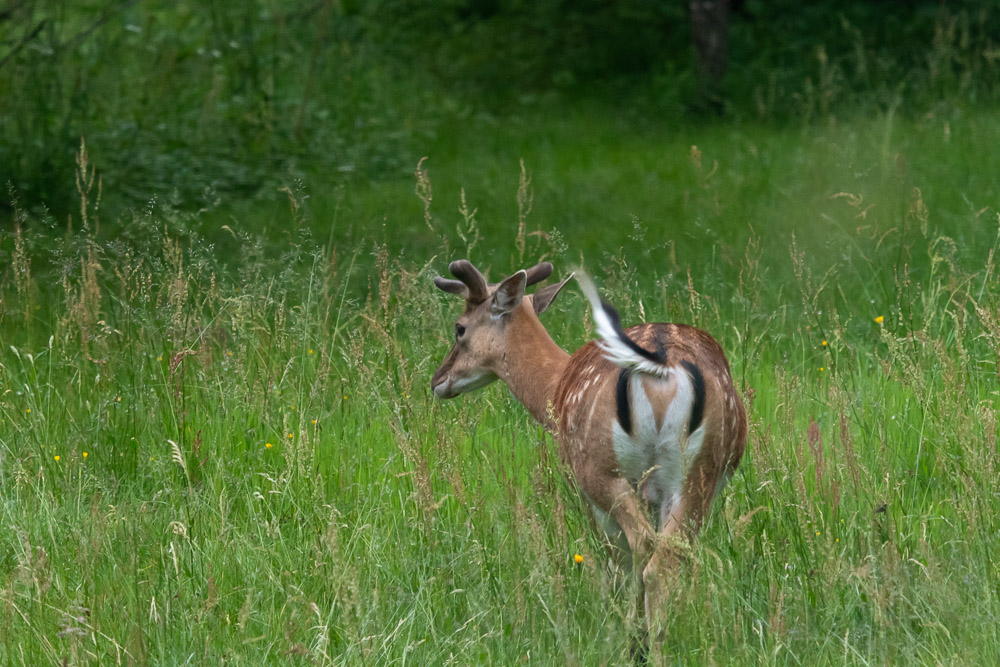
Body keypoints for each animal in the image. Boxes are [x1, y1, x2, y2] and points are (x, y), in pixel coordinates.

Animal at [430, 260, 744, 628]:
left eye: (459, 328)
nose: (437, 380)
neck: (556, 388)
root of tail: (661, 366)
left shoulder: (581, 486)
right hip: (698, 473)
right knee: (669, 556)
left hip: (600, 467)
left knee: (640, 548)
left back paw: (632, 632)